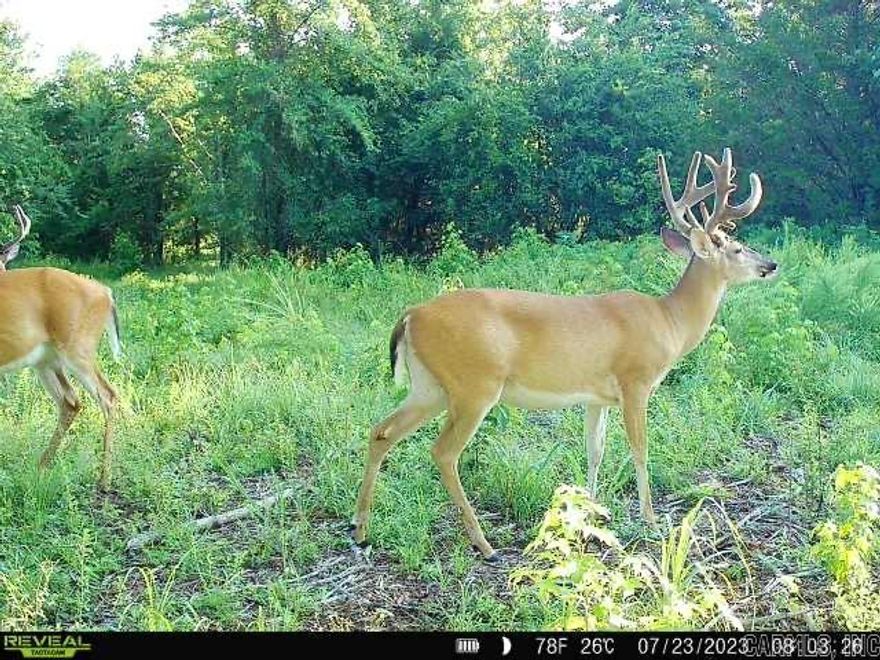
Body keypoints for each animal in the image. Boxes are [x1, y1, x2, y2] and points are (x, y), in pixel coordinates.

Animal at [0, 204, 121, 490]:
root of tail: (106, 293)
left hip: (78, 348)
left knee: (107, 396)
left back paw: (104, 479)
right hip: (47, 360)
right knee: (70, 401)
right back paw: (41, 467)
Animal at [351, 148, 779, 563]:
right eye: (737, 248)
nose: (771, 264)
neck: (669, 322)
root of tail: (411, 315)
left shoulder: (597, 397)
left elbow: (595, 451)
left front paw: (591, 511)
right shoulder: (636, 381)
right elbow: (640, 449)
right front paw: (650, 520)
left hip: (430, 386)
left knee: (380, 431)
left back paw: (360, 529)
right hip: (474, 385)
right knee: (443, 452)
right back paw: (484, 545)